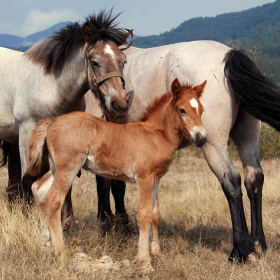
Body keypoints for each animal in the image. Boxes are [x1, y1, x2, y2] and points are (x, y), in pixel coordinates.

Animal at [26, 79, 206, 274]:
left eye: (201, 110)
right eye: (182, 110)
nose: (202, 137)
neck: (156, 134)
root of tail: (53, 121)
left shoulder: (156, 178)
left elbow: (155, 213)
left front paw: (157, 252)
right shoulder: (144, 178)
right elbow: (144, 214)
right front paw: (145, 262)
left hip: (56, 167)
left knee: (38, 188)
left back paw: (46, 242)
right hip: (69, 167)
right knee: (54, 199)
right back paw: (60, 253)